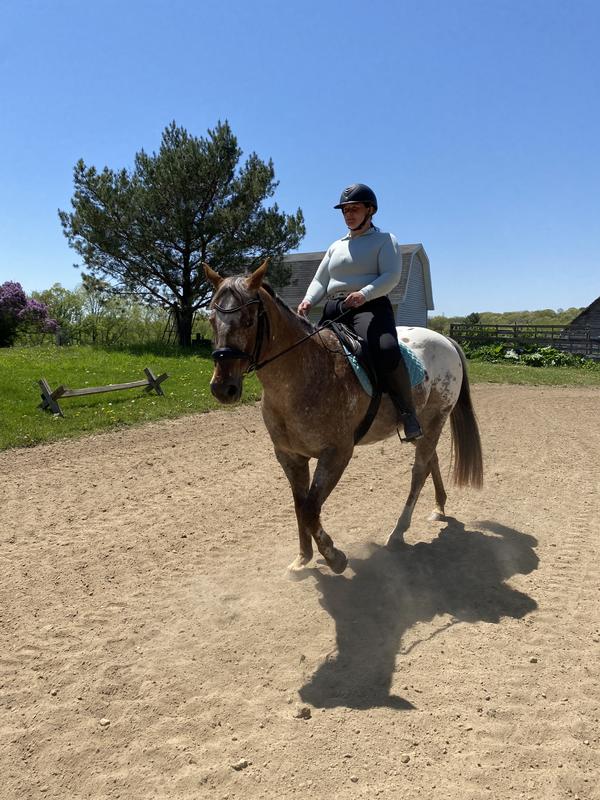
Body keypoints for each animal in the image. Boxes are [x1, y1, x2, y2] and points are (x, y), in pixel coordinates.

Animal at [204, 260, 483, 575]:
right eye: (212, 320)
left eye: (249, 321)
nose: (223, 388)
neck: (304, 372)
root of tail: (445, 339)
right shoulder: (289, 456)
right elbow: (300, 506)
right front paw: (302, 559)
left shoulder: (337, 453)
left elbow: (311, 509)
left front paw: (334, 557)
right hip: (421, 426)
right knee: (431, 461)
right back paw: (438, 508)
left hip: (435, 420)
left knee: (419, 470)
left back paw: (398, 532)